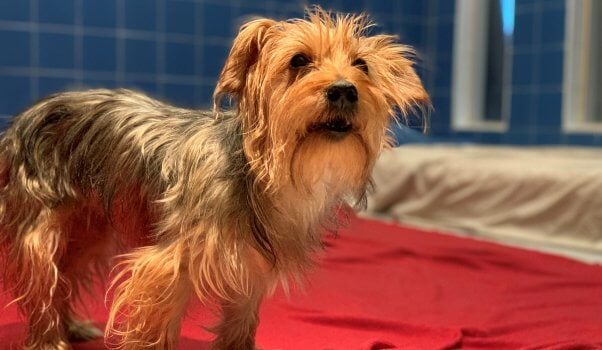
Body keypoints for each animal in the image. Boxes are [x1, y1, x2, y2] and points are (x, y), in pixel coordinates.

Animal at [0, 6, 426, 350]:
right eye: (299, 61)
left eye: (362, 66)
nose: (344, 90)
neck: (262, 173)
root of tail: (23, 118)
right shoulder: (164, 267)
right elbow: (152, 329)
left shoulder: (252, 268)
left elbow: (240, 323)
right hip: (40, 226)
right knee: (43, 279)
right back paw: (49, 338)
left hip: (89, 229)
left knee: (65, 275)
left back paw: (69, 325)